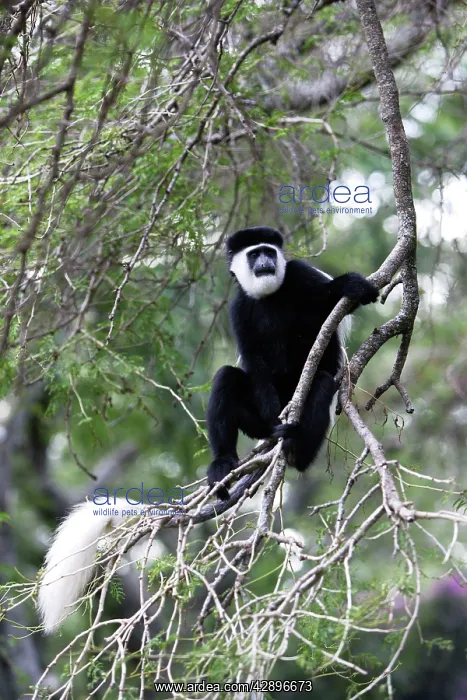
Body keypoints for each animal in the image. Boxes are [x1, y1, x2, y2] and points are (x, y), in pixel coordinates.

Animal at [206, 226, 378, 499]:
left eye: (269, 252)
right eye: (254, 254)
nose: (265, 263)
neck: (270, 296)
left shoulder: (300, 274)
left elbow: (327, 305)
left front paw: (351, 285)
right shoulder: (239, 308)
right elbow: (254, 360)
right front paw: (273, 415)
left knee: (322, 383)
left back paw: (297, 450)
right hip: (256, 425)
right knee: (226, 377)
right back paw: (223, 465)